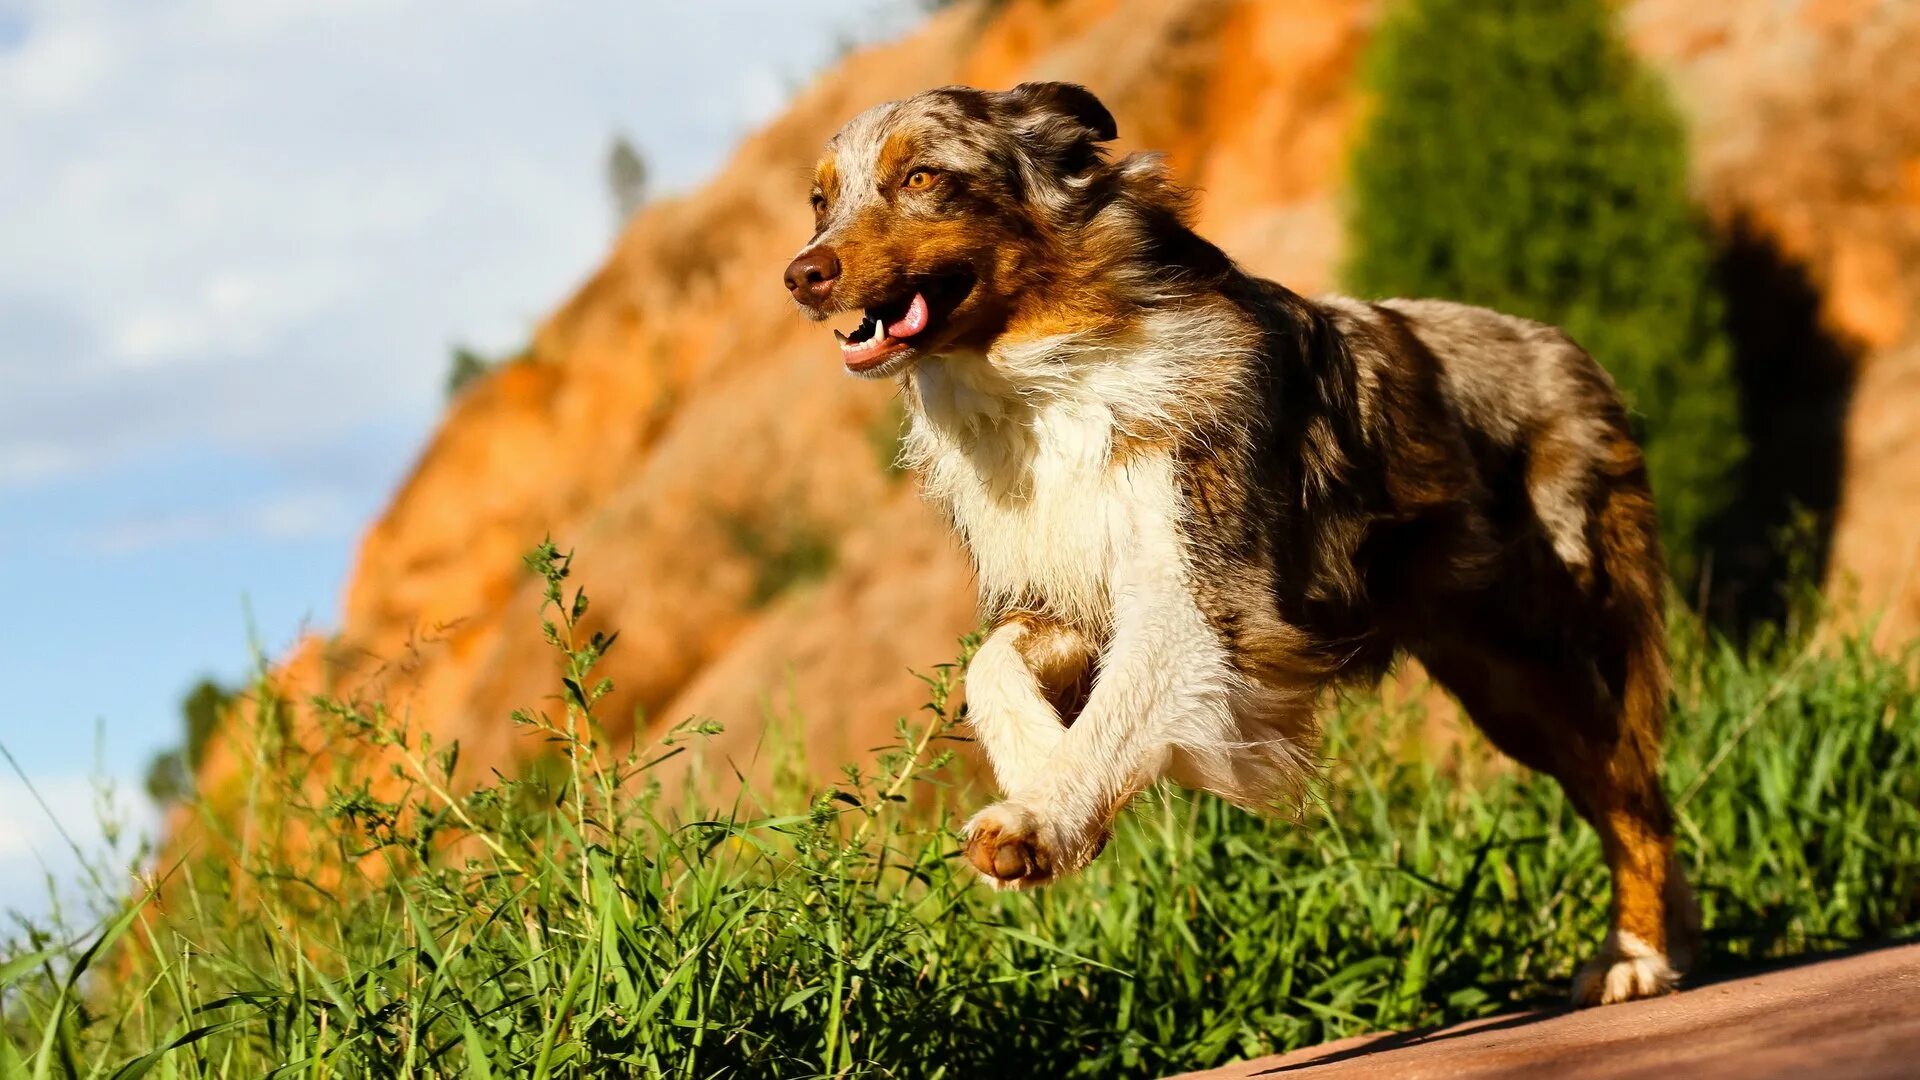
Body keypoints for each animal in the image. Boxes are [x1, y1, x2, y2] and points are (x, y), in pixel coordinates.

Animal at [779, 82, 1697, 999]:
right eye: (822, 201)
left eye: (922, 177)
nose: (801, 275)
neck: (1049, 381)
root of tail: (1569, 350)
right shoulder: (1075, 600)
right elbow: (991, 668)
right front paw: (1042, 766)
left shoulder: (1201, 599)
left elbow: (1118, 707)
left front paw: (1041, 818)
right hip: (1501, 680)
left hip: (1546, 662)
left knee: (1634, 798)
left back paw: (1635, 958)